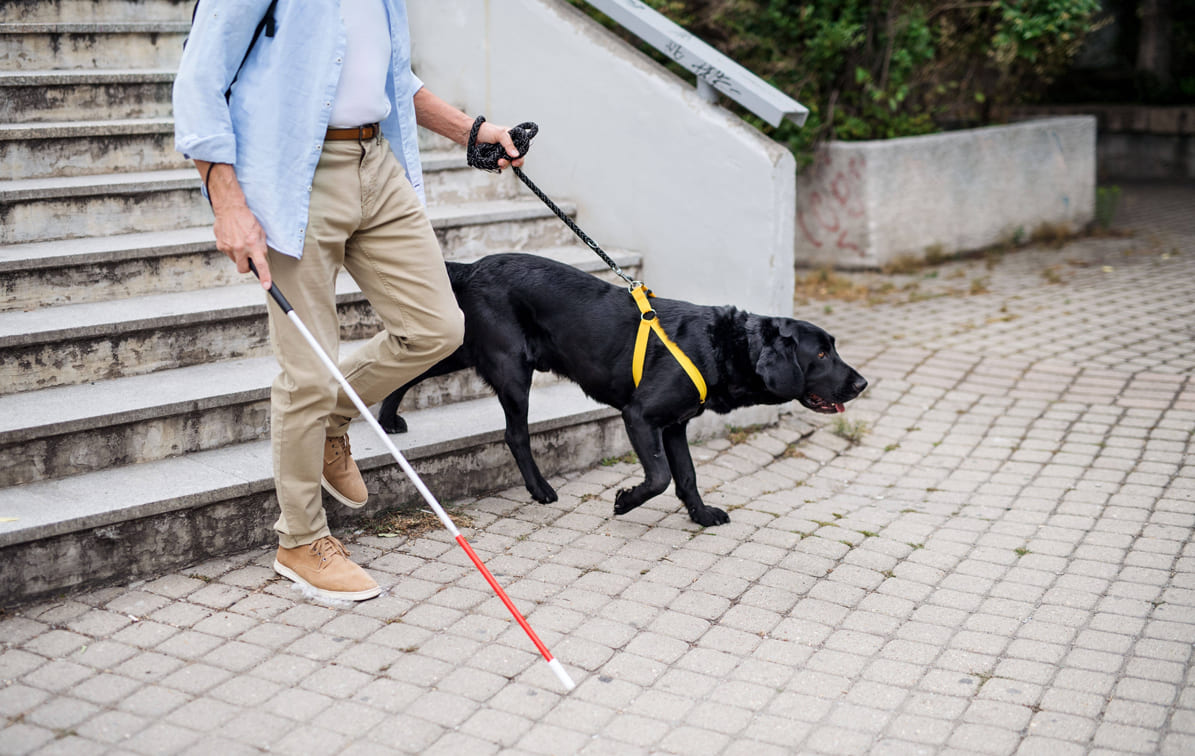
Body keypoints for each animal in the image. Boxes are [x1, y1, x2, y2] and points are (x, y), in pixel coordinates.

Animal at [377, 253, 865, 525]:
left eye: (833, 348)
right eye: (822, 354)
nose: (862, 383)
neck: (722, 343)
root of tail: (473, 267)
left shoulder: (674, 426)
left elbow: (687, 475)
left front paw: (701, 515)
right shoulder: (641, 416)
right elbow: (660, 476)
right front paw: (625, 502)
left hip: (463, 346)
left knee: (414, 365)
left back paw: (386, 419)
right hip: (512, 369)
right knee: (515, 434)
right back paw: (540, 489)